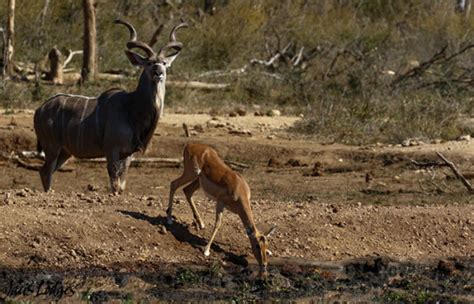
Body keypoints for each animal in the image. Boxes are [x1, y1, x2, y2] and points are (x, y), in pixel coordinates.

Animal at [168, 144, 276, 276]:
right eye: (256, 246)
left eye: (266, 244)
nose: (264, 265)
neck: (239, 189)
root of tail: (190, 144)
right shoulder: (220, 203)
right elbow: (218, 224)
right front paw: (206, 250)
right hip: (190, 173)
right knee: (173, 184)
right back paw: (169, 219)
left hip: (198, 181)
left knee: (187, 191)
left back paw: (201, 223)